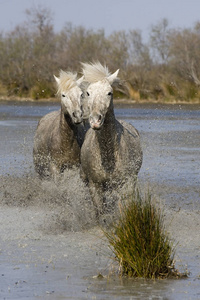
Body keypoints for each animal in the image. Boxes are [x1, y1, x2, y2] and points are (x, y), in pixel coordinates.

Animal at [79, 62, 142, 217]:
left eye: (109, 93)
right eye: (88, 93)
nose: (96, 121)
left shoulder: (125, 184)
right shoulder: (95, 186)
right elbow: (100, 213)